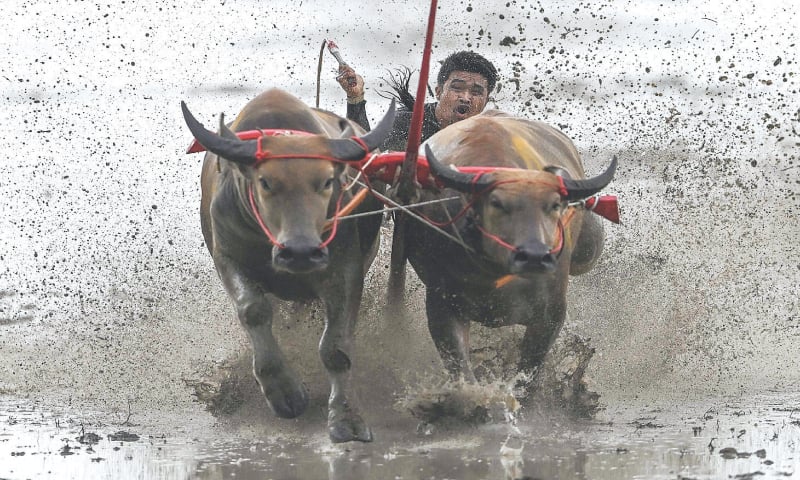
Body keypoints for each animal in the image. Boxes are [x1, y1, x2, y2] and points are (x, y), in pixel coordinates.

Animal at [180, 89, 396, 442]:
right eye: (265, 182)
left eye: (326, 181)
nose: (301, 252)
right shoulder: (228, 257)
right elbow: (253, 310)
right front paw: (285, 393)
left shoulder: (344, 269)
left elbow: (336, 347)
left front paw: (346, 419)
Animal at [404, 110, 616, 388]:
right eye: (496, 203)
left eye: (554, 204)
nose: (535, 257)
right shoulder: (442, 306)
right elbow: (463, 376)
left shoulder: (551, 315)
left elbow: (526, 377)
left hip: (588, 249)